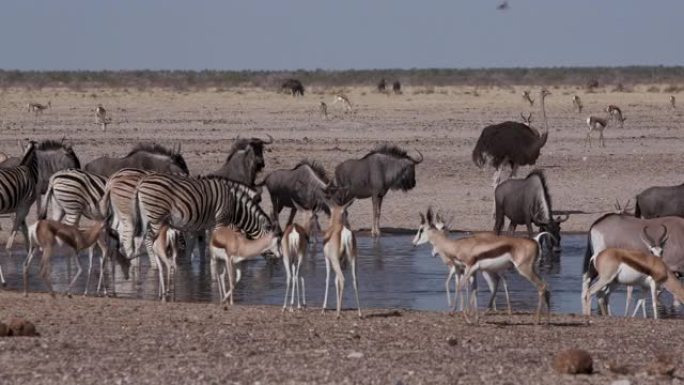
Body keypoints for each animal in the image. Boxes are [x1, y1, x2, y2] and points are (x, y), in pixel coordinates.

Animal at [132, 172, 274, 298]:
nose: (273, 262)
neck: (234, 205)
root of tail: (141, 182)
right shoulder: (220, 223)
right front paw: (216, 275)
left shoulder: (206, 225)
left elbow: (202, 248)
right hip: (156, 217)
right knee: (152, 243)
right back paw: (158, 271)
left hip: (146, 217)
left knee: (139, 239)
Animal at [322, 184, 360, 316]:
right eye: (345, 213)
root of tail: (344, 232)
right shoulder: (342, 261)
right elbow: (335, 281)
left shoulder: (328, 259)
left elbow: (328, 279)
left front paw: (324, 308)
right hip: (352, 259)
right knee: (354, 281)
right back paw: (360, 313)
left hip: (335, 260)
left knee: (343, 279)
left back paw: (338, 314)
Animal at [412, 207, 552, 324]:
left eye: (421, 229)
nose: (413, 243)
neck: (457, 246)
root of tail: (534, 241)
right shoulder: (472, 271)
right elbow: (474, 289)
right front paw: (475, 317)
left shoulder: (467, 268)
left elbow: (460, 286)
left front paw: (465, 317)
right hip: (528, 269)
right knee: (546, 285)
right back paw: (547, 320)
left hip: (523, 270)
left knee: (541, 286)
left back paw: (537, 320)